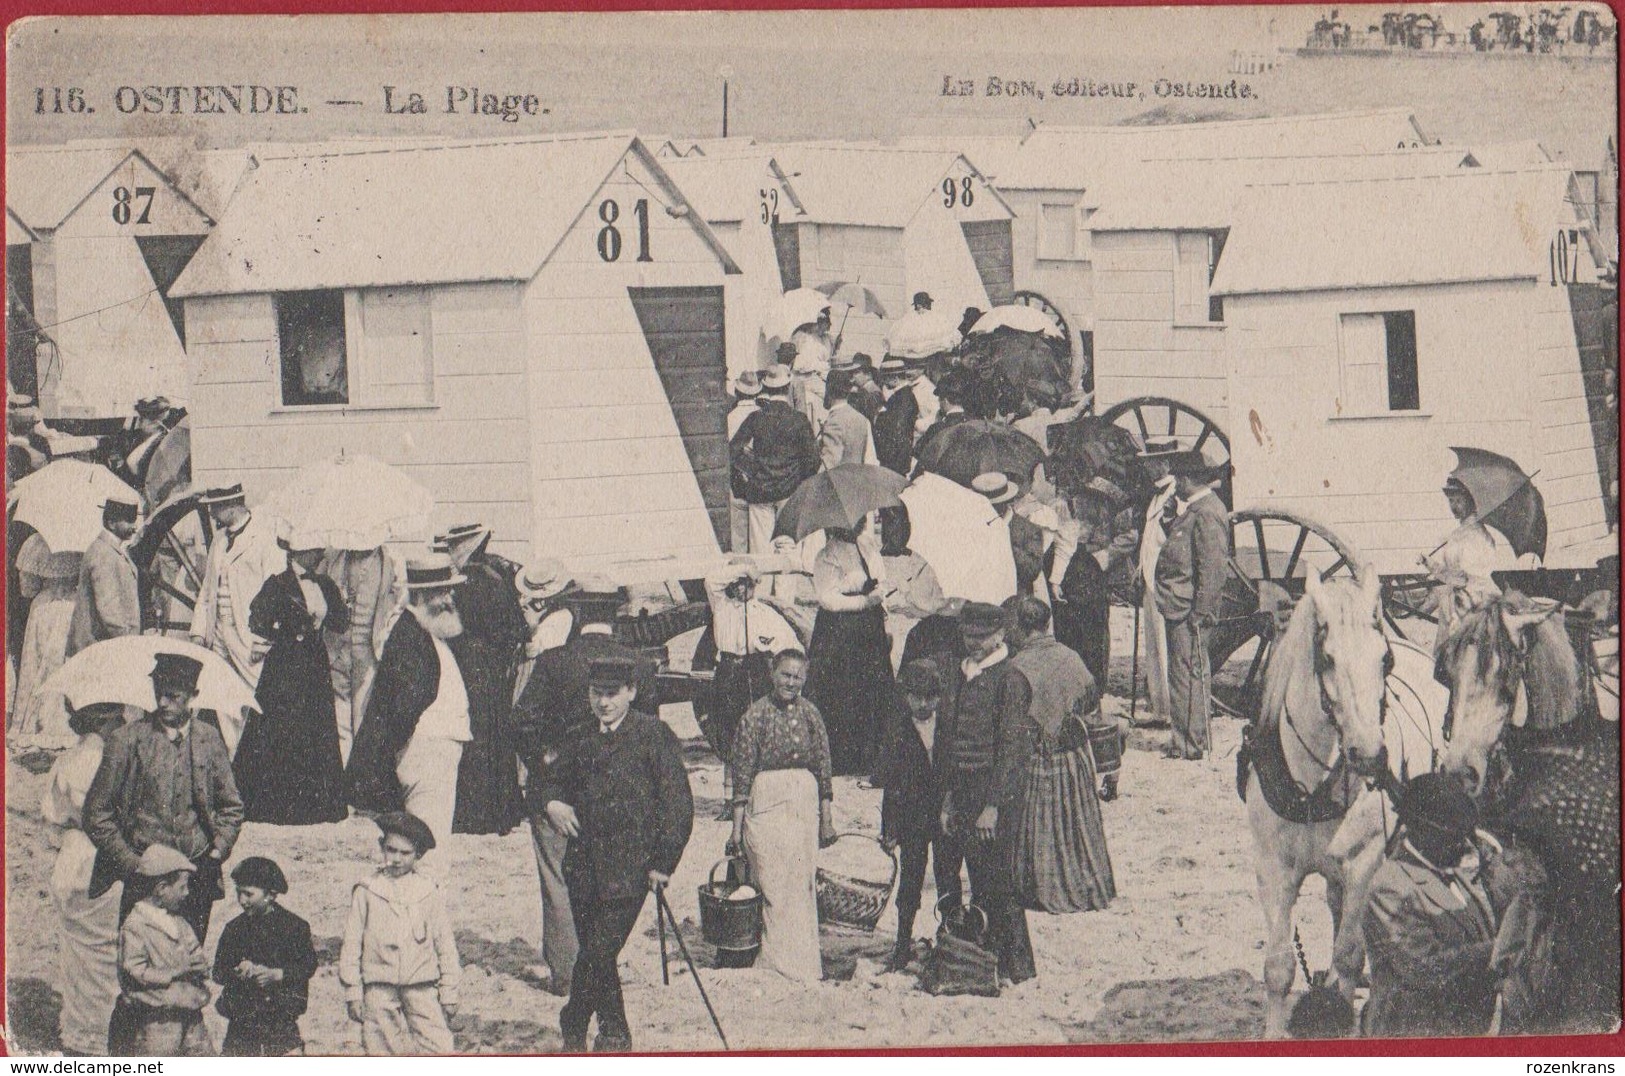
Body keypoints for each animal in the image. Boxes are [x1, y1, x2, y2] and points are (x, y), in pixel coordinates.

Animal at [1241, 572, 1449, 1040]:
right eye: (1328, 658)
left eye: (1384, 659)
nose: (1369, 754)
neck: (1312, 789)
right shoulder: (1271, 868)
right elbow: (1278, 967)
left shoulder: (1364, 864)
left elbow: (1350, 956)